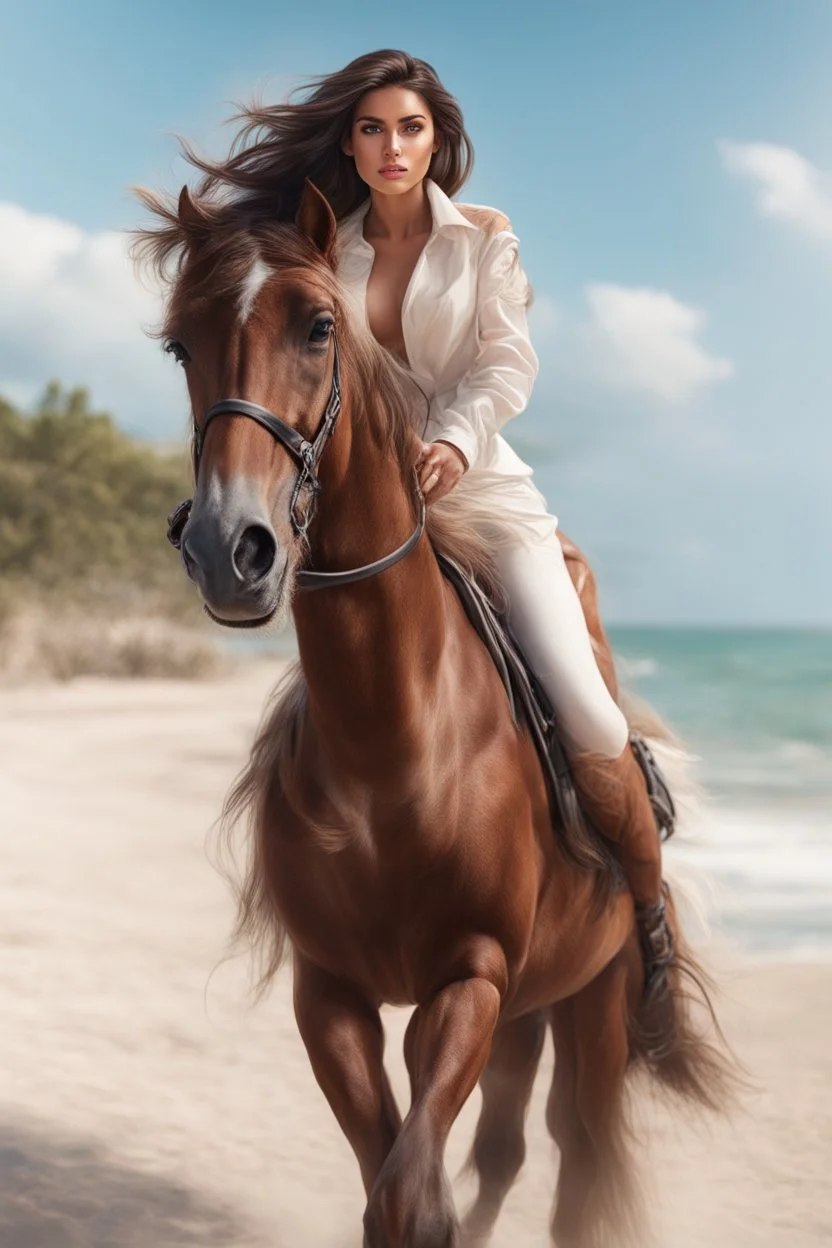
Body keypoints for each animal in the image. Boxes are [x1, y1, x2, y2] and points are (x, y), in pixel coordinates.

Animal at [132, 177, 733, 1248]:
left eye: (319, 325)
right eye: (179, 344)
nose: (228, 551)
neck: (393, 747)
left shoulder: (470, 982)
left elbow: (414, 1199)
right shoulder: (332, 993)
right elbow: (396, 1191)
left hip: (591, 1004)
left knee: (579, 1157)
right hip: (529, 1011)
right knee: (504, 1152)